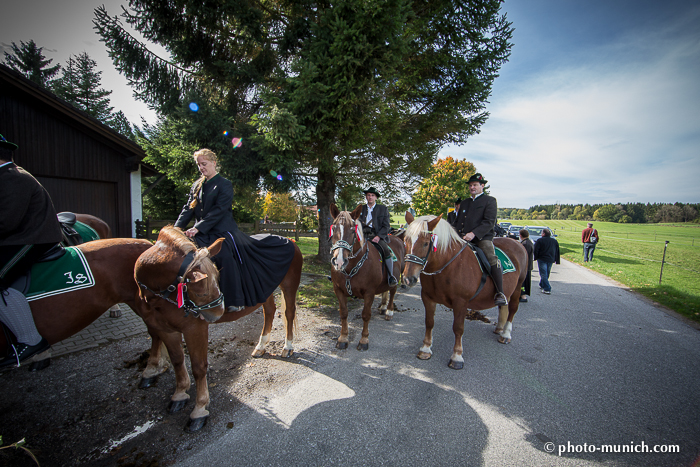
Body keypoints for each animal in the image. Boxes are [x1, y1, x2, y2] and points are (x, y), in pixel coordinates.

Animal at [134, 226, 304, 432]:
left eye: (218, 278)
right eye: (199, 289)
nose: (217, 312)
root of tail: (290, 240)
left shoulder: (194, 328)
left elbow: (199, 367)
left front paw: (199, 410)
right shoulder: (166, 329)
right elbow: (177, 360)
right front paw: (180, 394)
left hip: (289, 285)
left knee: (289, 313)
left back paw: (287, 347)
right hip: (267, 290)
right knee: (270, 311)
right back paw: (261, 346)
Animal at [400, 212, 524, 370]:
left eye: (426, 243)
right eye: (405, 241)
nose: (408, 279)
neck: (447, 266)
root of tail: (517, 243)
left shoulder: (461, 302)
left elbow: (458, 328)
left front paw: (457, 356)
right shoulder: (428, 298)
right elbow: (429, 322)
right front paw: (426, 349)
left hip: (517, 288)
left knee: (512, 309)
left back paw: (506, 334)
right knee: (504, 307)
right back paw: (500, 328)